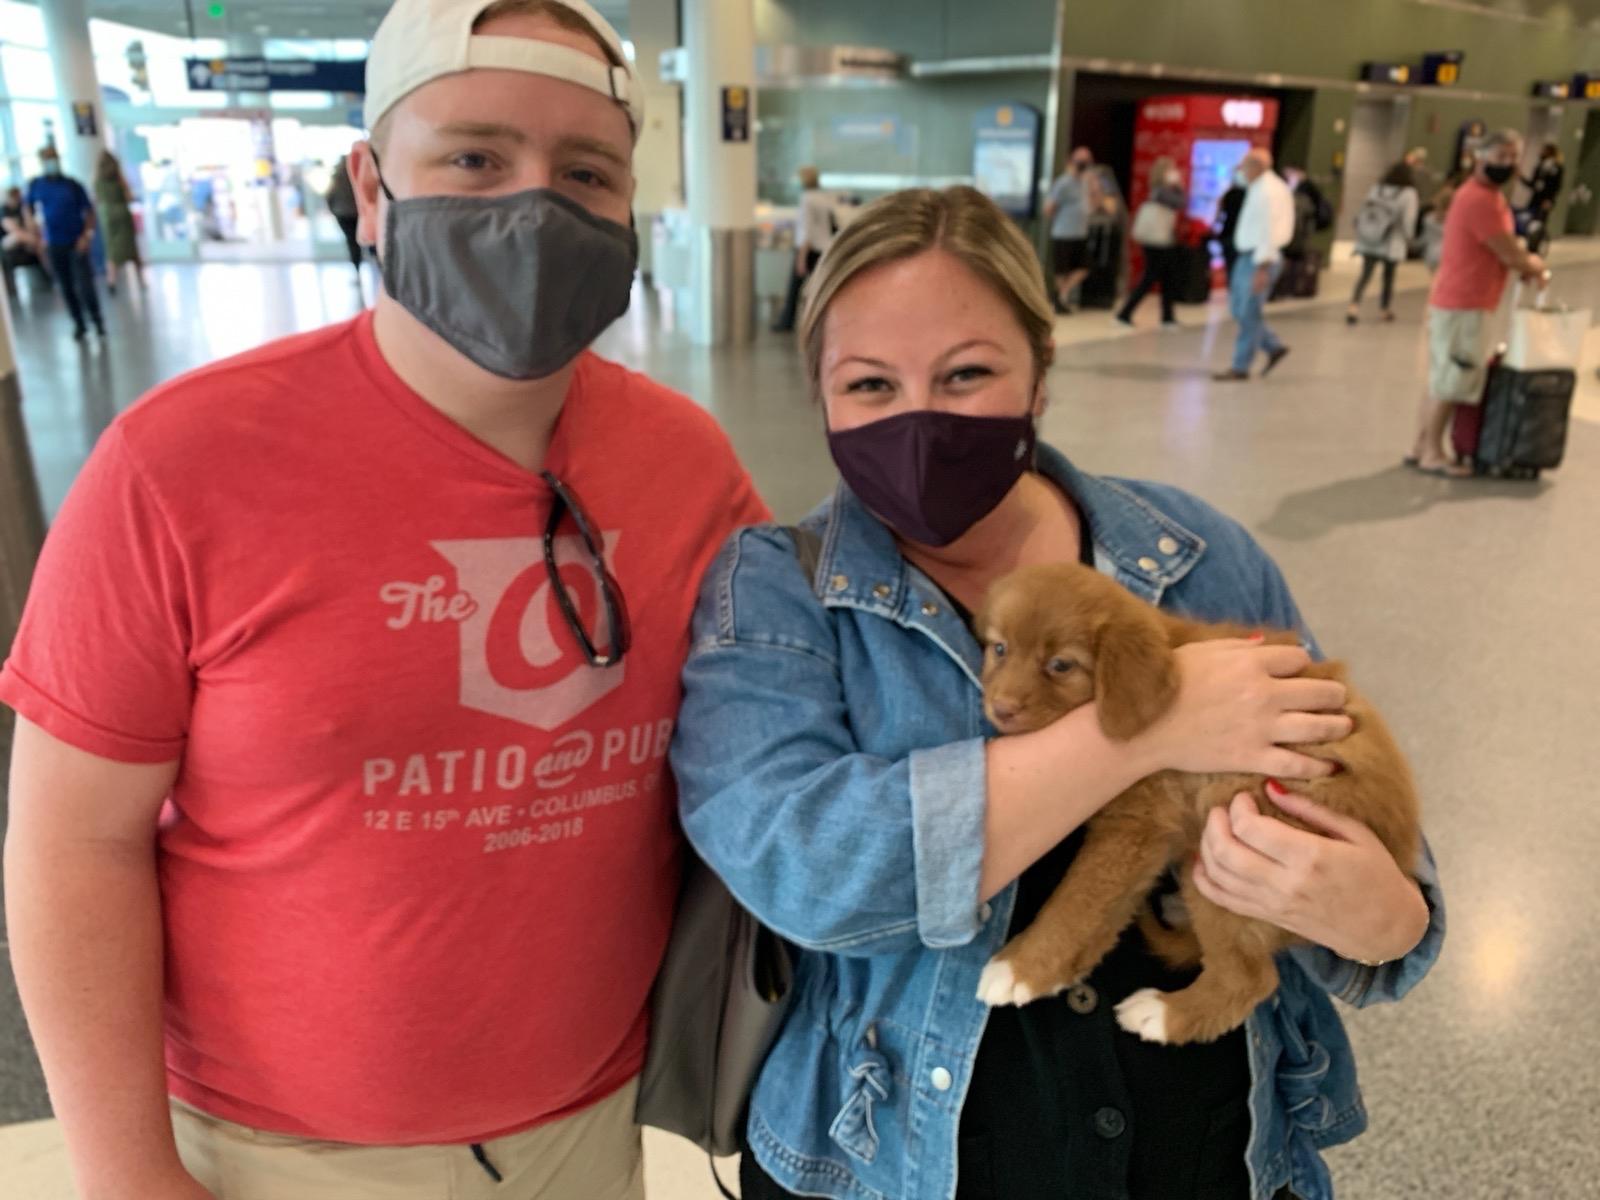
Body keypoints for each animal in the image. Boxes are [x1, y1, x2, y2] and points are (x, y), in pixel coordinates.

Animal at [966, 563, 1420, 1043]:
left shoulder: (1134, 827)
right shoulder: (1142, 841)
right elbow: (1104, 914)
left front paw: (1021, 967)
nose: (1001, 708)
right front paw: (1057, 971)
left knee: (1249, 980)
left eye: (1060, 665)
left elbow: (1075, 901)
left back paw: (1163, 1015)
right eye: (999, 648)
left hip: (1228, 849)